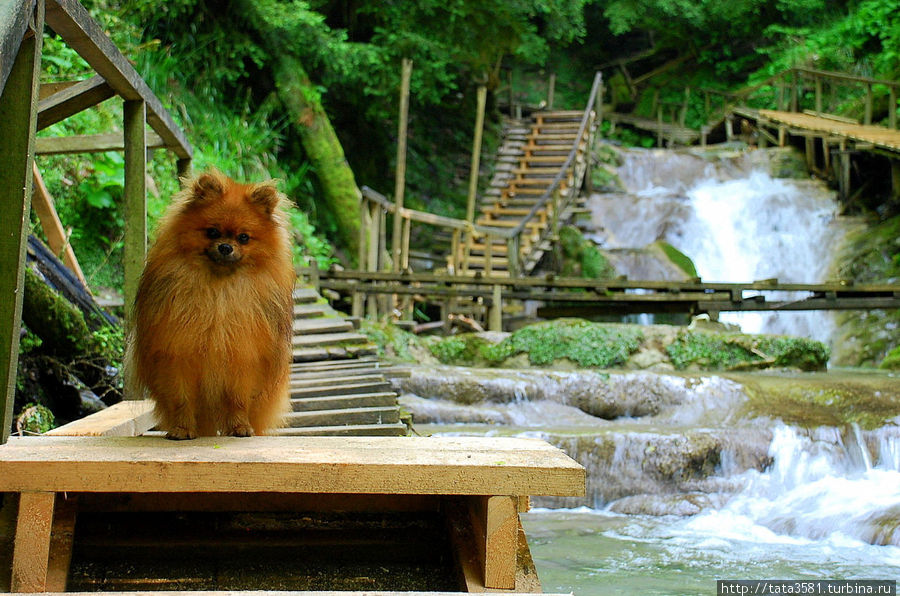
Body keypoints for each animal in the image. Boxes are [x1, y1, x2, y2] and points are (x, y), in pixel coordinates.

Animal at [125, 170, 296, 440]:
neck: (218, 293)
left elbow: (238, 400)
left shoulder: (243, 359)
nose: (226, 247)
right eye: (212, 232)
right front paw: (182, 429)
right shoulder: (177, 357)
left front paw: (239, 427)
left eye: (244, 237)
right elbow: (182, 400)